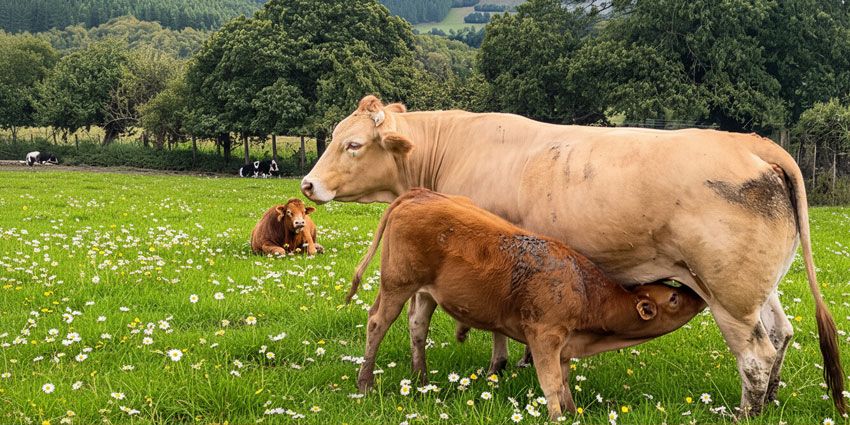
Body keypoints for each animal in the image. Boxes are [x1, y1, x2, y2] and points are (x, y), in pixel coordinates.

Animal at [348, 189, 707, 420]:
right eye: (674, 298)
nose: (698, 296)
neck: (585, 291)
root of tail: (419, 195)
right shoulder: (544, 337)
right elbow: (551, 383)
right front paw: (556, 416)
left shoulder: (564, 345)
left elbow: (564, 383)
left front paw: (573, 412)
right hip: (397, 284)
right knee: (377, 322)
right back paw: (365, 383)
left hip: (425, 292)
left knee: (417, 327)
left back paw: (421, 378)